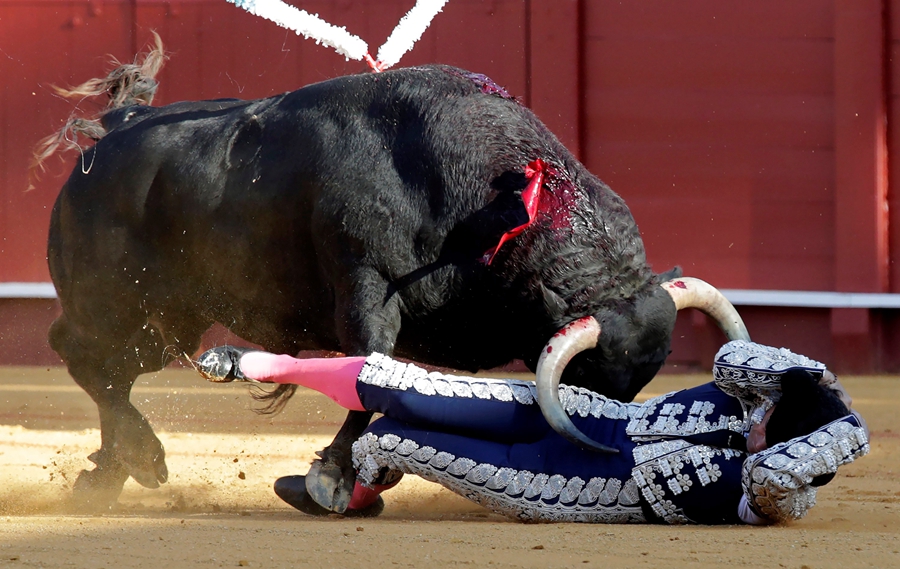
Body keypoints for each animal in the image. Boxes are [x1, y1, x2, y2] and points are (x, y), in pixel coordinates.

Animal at [49, 64, 688, 508]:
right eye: (584, 377)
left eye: (634, 389)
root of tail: (114, 131)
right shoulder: (366, 286)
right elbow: (370, 373)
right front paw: (330, 479)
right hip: (112, 305)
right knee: (81, 354)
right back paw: (139, 458)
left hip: (169, 321)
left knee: (111, 368)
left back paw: (110, 472)